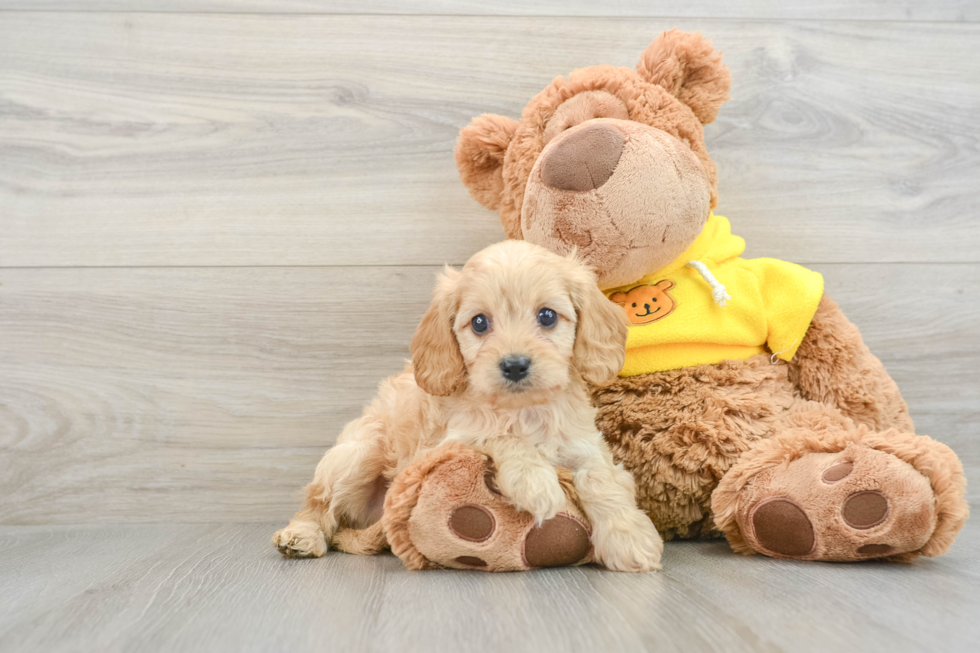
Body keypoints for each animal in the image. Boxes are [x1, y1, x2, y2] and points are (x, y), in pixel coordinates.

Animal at [272, 239, 664, 572]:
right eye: (479, 323)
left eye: (548, 316)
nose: (515, 365)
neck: (523, 410)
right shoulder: (448, 442)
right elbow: (500, 435)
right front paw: (534, 481)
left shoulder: (583, 443)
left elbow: (602, 478)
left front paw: (629, 537)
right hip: (358, 454)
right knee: (318, 502)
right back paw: (301, 536)